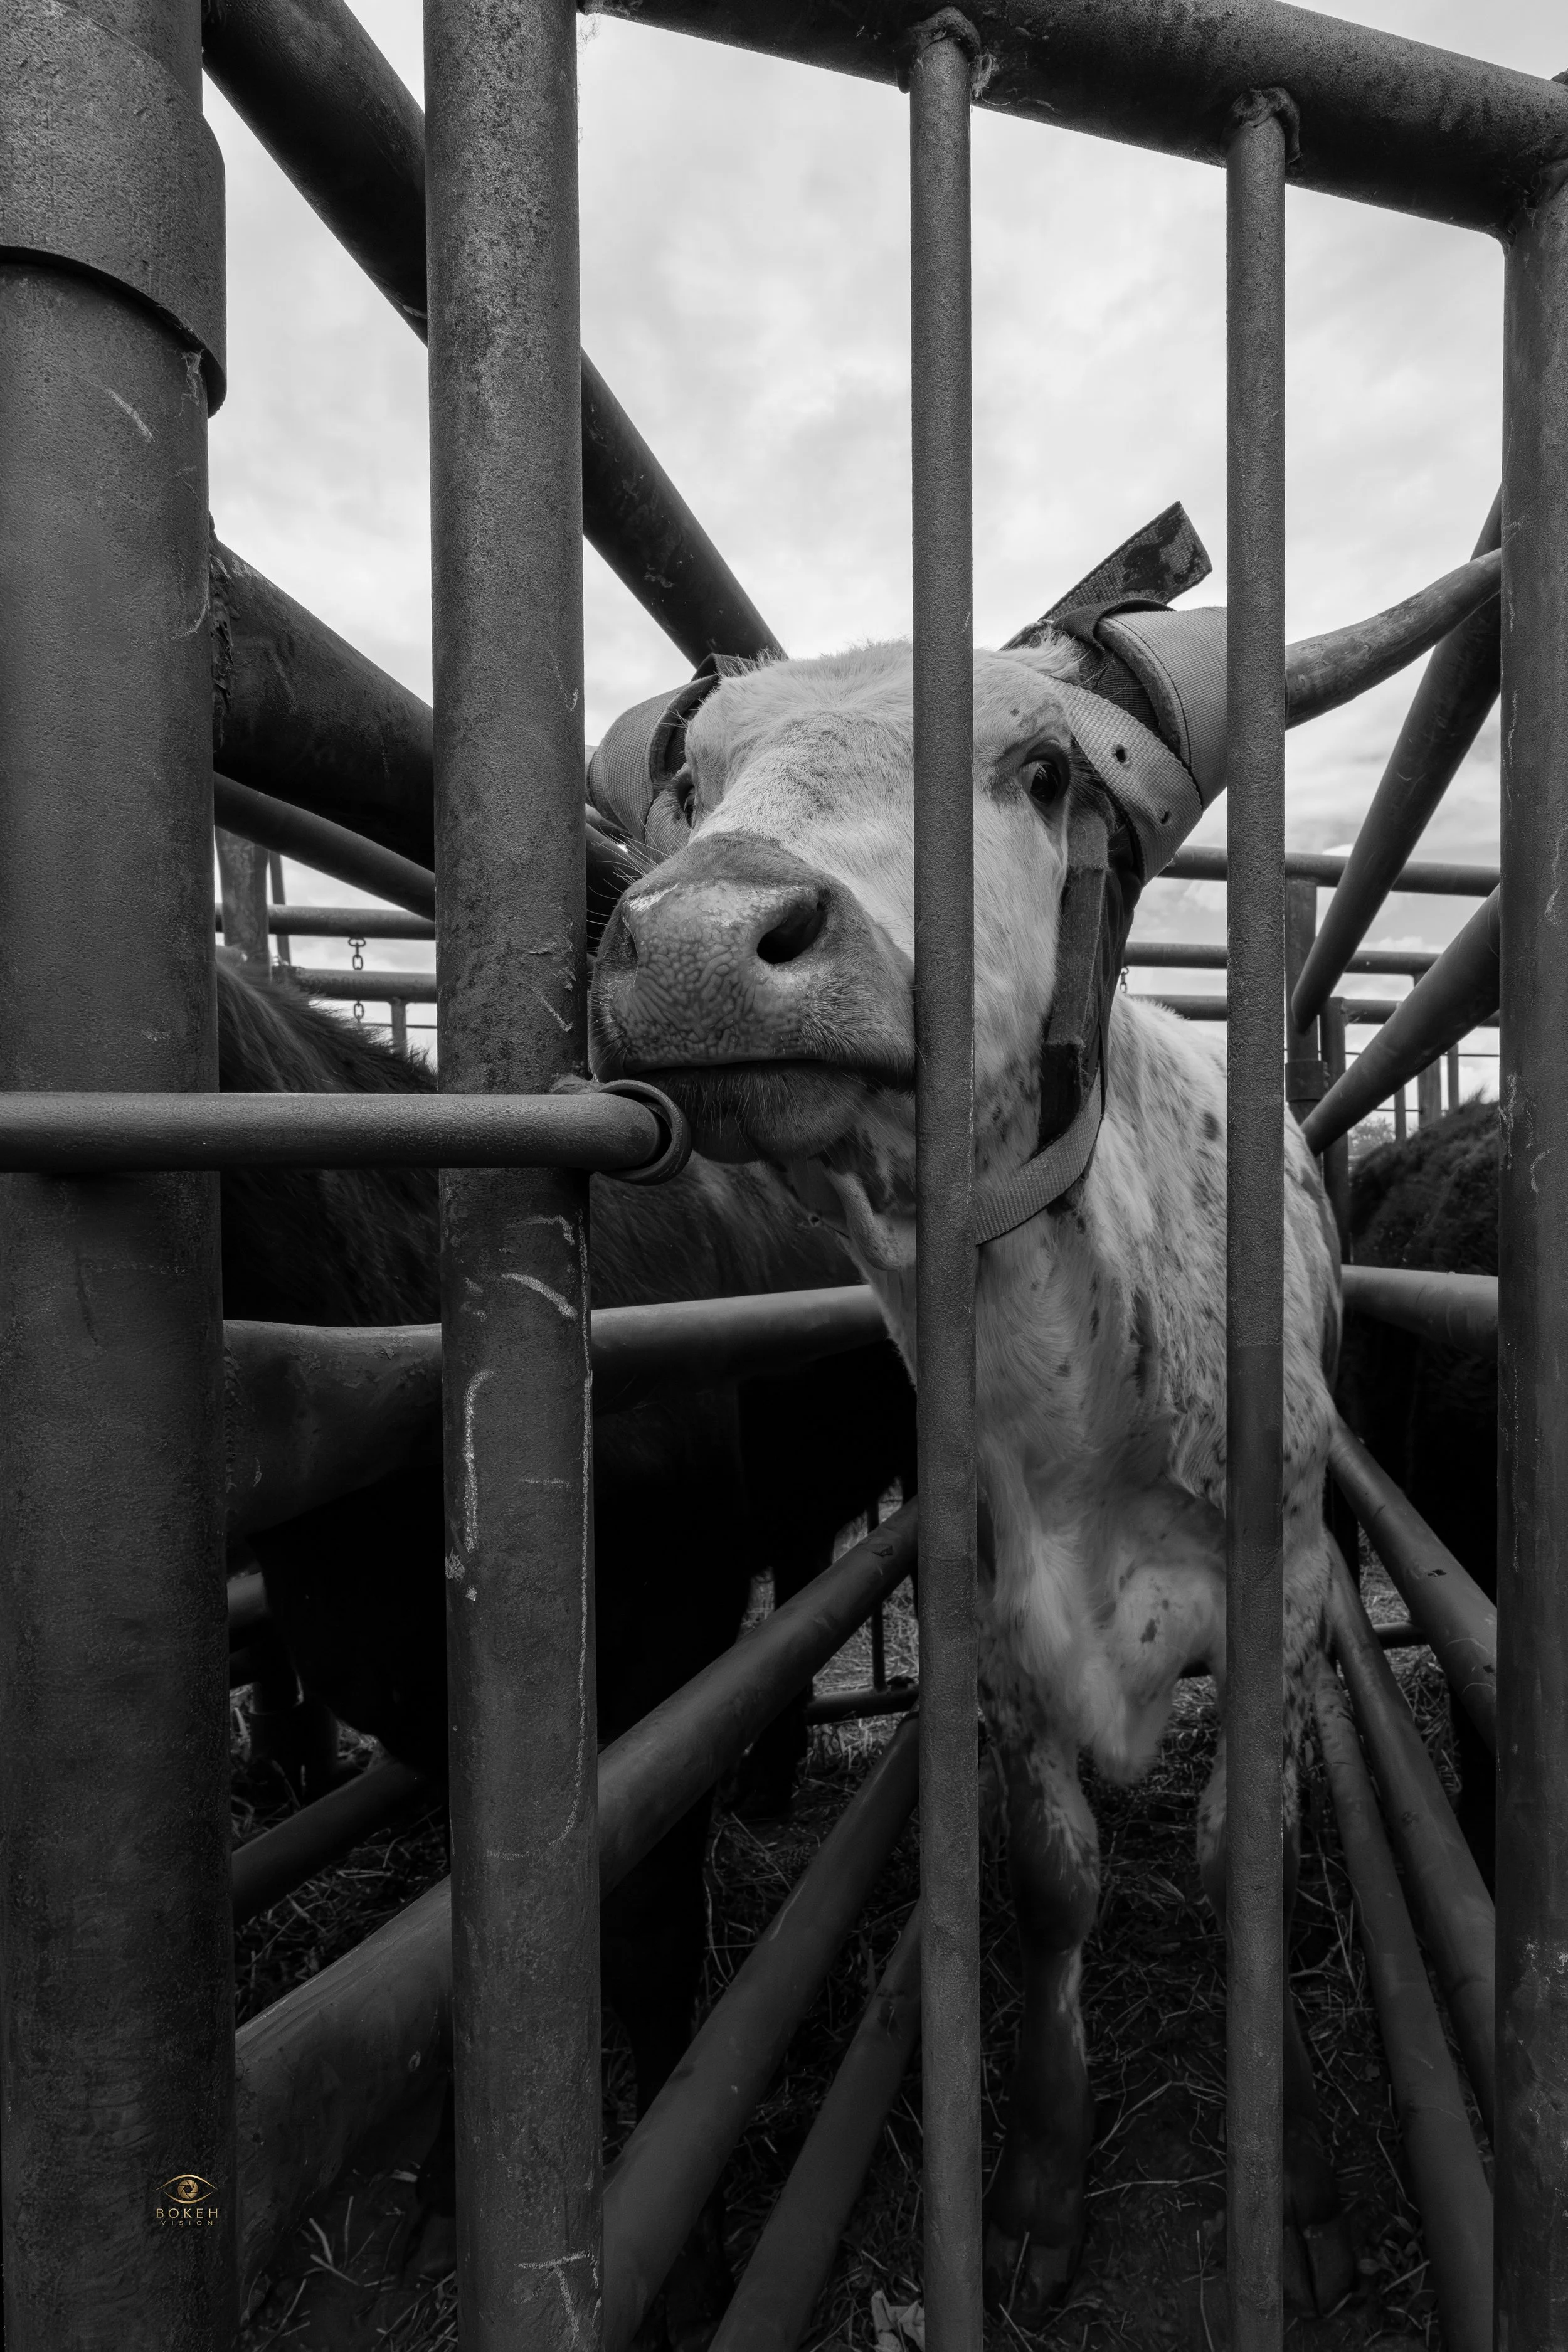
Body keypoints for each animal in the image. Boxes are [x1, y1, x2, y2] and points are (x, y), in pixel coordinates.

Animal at [216, 955, 916, 2336]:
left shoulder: (660, 1652)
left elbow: (643, 1936)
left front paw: (686, 2257)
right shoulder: (429, 1704)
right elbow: (462, 1938)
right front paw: (449, 2194)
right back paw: (768, 1781)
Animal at [589, 636, 1352, 2317]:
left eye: (1043, 768)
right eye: (694, 781)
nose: (701, 943)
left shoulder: (1277, 1601)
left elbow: (1238, 1860)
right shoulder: (998, 1654)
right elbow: (1052, 1888)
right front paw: (1036, 2195)